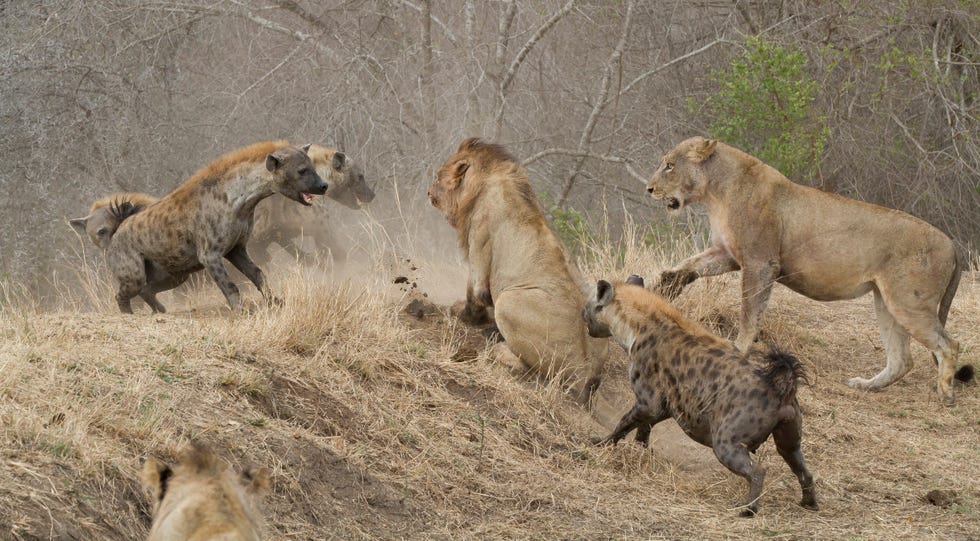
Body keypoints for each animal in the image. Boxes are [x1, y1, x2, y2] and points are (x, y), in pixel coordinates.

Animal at [426, 138, 604, 400]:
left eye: (438, 176)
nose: (428, 192)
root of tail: (585, 370)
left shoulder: (478, 244)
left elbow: (474, 293)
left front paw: (462, 314)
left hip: (509, 301)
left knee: (526, 366)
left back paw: (498, 347)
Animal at [644, 137, 972, 402]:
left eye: (669, 166)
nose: (649, 189)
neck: (716, 191)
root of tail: (951, 242)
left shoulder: (760, 262)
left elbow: (750, 311)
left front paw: (739, 349)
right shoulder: (728, 254)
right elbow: (691, 264)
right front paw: (667, 284)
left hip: (909, 302)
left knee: (949, 344)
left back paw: (945, 393)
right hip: (886, 301)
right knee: (902, 359)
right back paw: (865, 385)